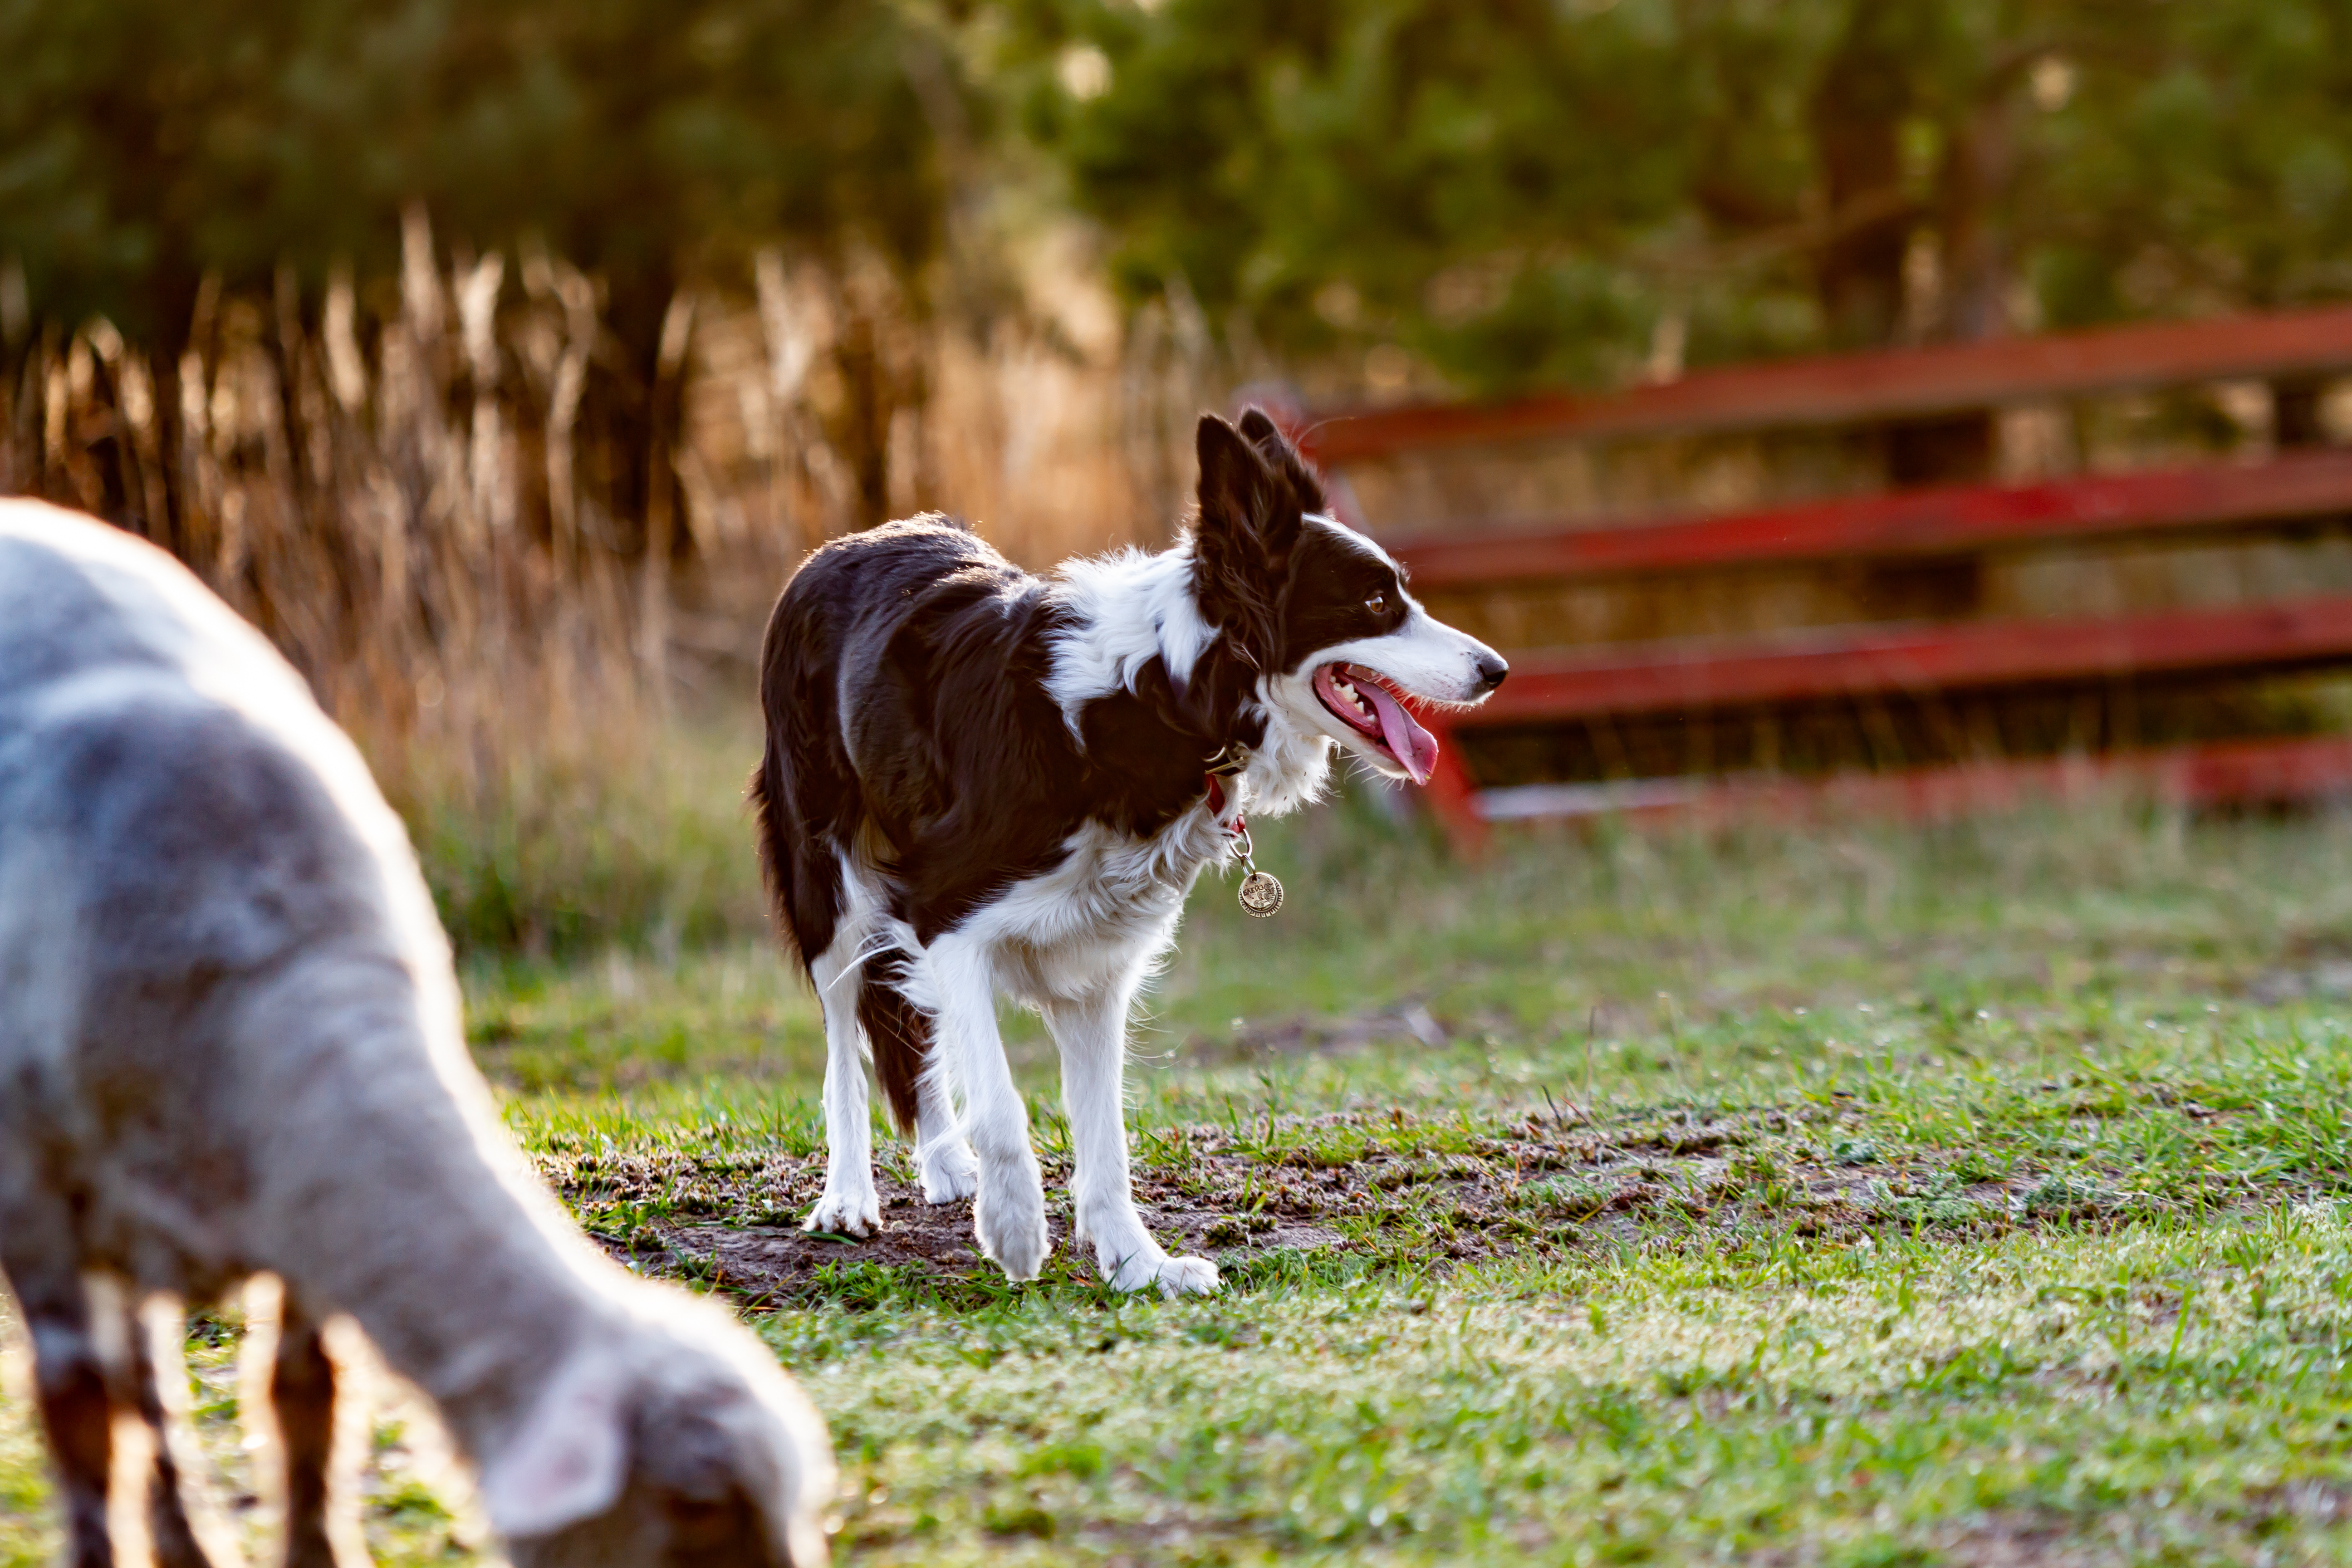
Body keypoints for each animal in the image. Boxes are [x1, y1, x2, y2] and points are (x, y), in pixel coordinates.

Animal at [0, 500, 833, 1567]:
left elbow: (305, 1396)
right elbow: (79, 1420)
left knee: (150, 1371)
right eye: (693, 1511)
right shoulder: (34, 1193)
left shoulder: (304, 1197)